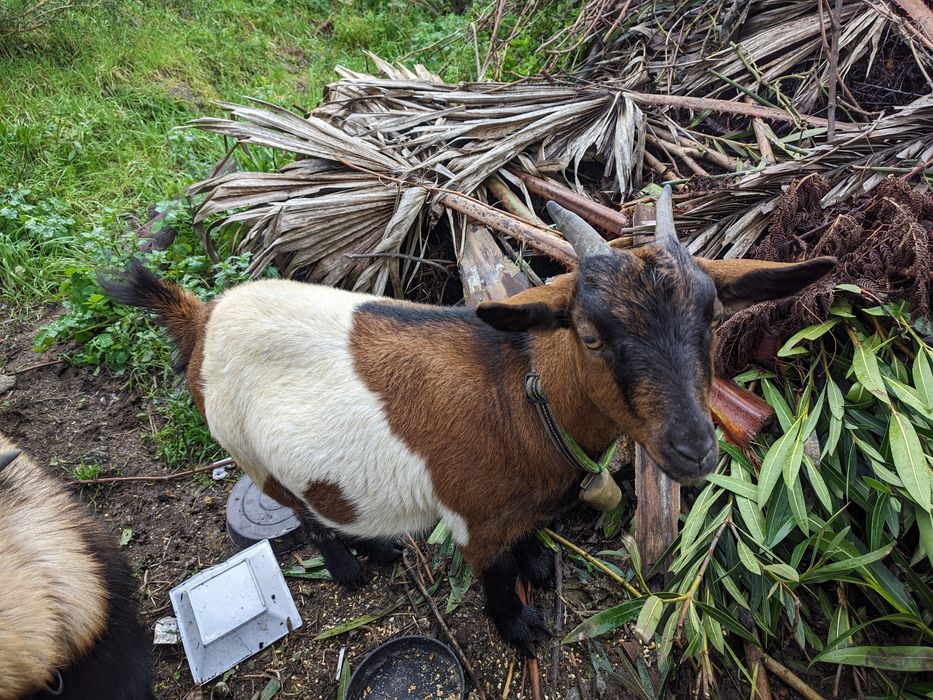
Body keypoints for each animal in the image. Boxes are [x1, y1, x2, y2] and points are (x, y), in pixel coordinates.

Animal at [99, 187, 834, 656]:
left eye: (711, 318)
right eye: (590, 334)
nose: (693, 451)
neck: (524, 399)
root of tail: (199, 317)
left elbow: (528, 540)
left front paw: (539, 563)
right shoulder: (475, 524)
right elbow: (496, 577)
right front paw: (522, 629)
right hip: (248, 451)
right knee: (305, 513)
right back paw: (354, 564)